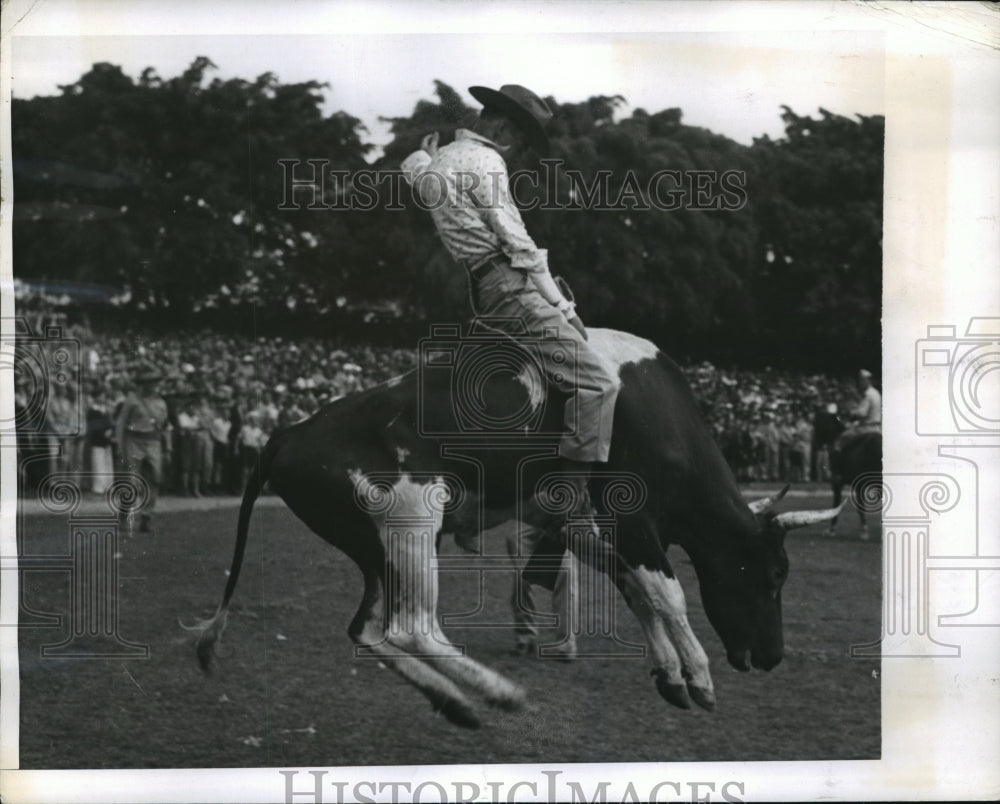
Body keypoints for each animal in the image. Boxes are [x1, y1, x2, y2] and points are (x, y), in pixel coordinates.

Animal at [189, 326, 844, 728]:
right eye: (774, 574)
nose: (773, 657)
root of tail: (291, 432)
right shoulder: (634, 517)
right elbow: (668, 593)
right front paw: (700, 678)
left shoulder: (584, 523)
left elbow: (636, 590)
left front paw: (670, 676)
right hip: (413, 521)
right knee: (412, 627)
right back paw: (499, 692)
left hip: (375, 549)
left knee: (369, 629)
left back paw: (459, 705)